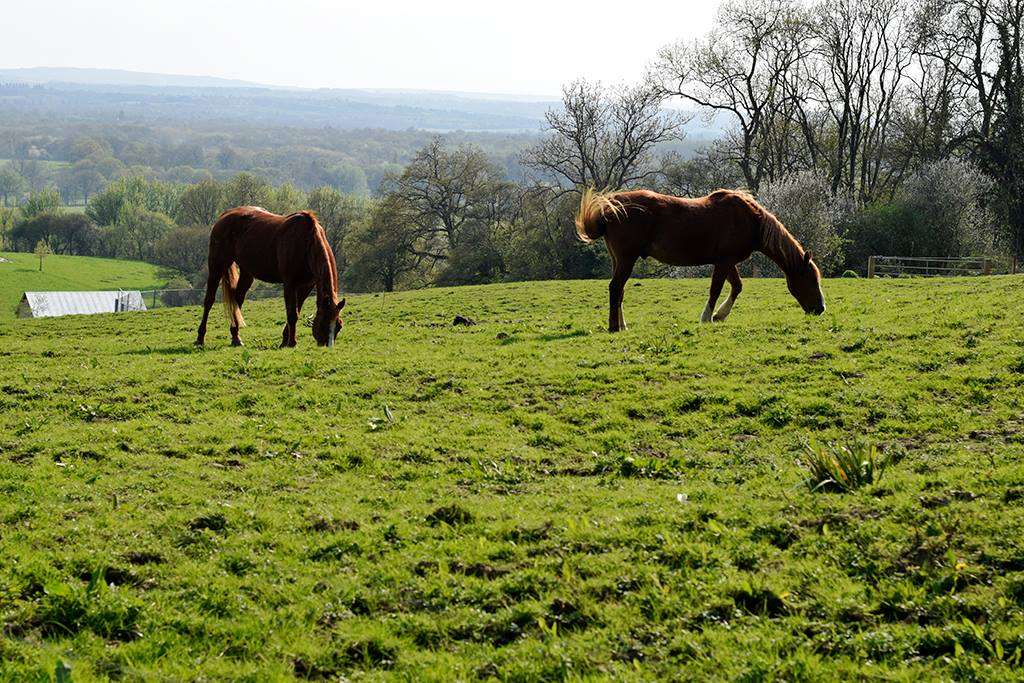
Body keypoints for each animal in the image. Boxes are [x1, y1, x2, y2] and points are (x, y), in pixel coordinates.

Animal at [193, 205, 346, 348]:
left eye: (339, 325)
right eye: (324, 323)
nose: (326, 345)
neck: (306, 242)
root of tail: (224, 215)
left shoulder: (306, 285)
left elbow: (297, 310)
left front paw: (284, 341)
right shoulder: (290, 283)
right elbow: (292, 313)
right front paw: (291, 342)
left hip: (247, 273)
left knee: (237, 299)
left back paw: (236, 337)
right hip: (217, 266)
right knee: (209, 300)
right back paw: (200, 339)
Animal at [577, 188, 823, 331]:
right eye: (811, 280)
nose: (821, 309)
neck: (750, 220)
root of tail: (610, 210)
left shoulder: (728, 262)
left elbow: (737, 286)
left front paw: (720, 315)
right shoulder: (723, 262)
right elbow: (716, 289)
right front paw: (707, 316)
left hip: (619, 260)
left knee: (619, 291)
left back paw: (622, 325)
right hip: (627, 259)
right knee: (615, 288)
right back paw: (613, 327)